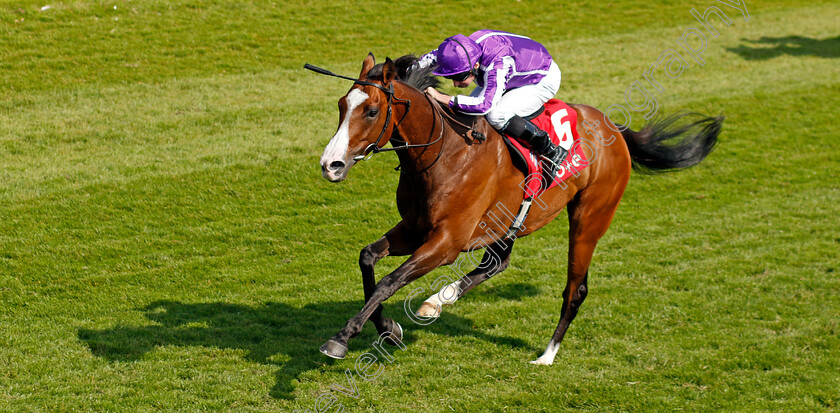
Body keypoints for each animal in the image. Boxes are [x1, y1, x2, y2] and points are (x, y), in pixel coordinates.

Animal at [312, 52, 720, 364]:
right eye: (341, 106)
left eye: (371, 111)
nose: (330, 165)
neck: (442, 153)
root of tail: (614, 128)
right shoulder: (414, 229)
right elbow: (368, 259)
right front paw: (389, 328)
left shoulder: (446, 242)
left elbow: (389, 281)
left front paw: (342, 338)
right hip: (510, 220)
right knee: (496, 263)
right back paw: (438, 301)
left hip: (589, 218)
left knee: (575, 289)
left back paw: (547, 355)